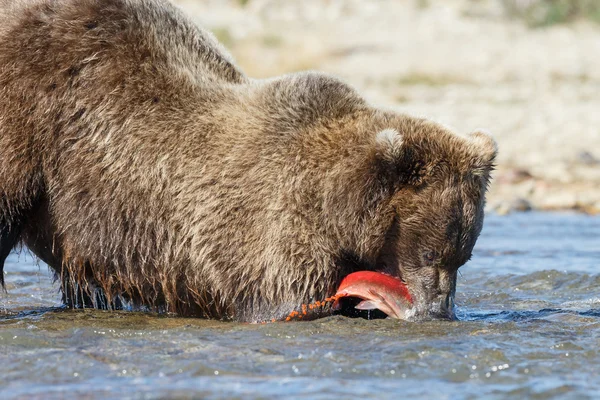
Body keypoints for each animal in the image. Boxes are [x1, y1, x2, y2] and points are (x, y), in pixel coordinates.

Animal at [1, 0, 496, 322]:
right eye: (431, 252)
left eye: (464, 255)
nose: (440, 310)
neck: (336, 207)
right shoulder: (271, 230)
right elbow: (284, 302)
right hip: (27, 124)